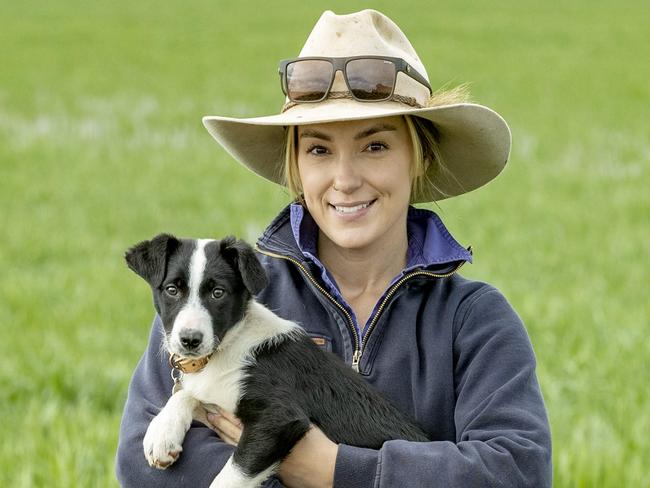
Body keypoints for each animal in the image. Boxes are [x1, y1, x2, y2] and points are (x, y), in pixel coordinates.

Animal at [124, 234, 426, 488]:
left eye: (218, 292)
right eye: (172, 290)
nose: (190, 340)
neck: (228, 347)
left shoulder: (279, 418)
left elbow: (230, 476)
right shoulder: (216, 396)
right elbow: (185, 394)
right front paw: (162, 434)